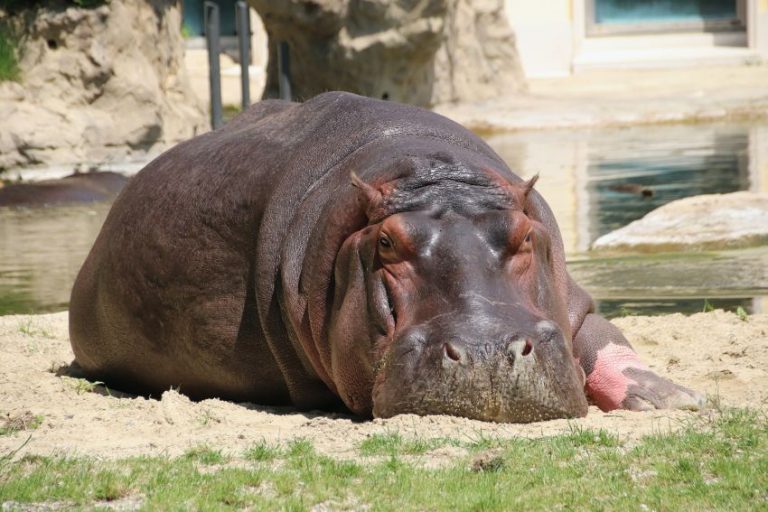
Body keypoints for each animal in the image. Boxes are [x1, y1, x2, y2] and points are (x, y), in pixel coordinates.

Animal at [69, 92, 702, 423]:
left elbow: (600, 337)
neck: (433, 176)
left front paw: (674, 399)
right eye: (386, 243)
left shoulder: (570, 299)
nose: (486, 353)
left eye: (525, 235)